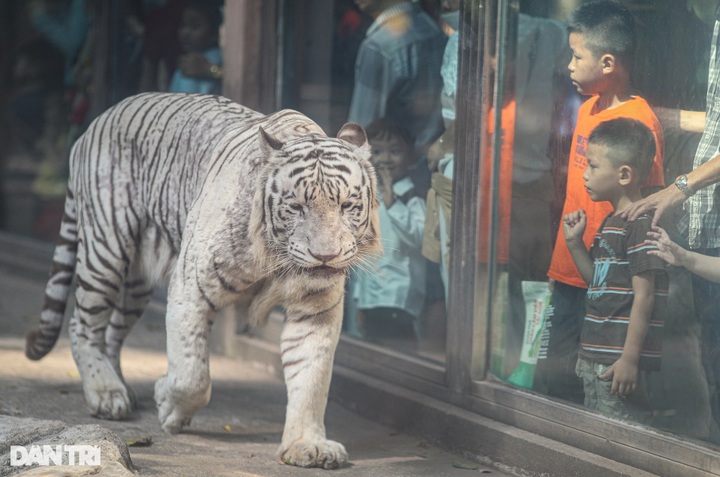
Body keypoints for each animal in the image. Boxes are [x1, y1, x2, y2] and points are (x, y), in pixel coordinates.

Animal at [24, 92, 381, 469]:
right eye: (297, 207)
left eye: (347, 205)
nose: (325, 256)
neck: (278, 261)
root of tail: (99, 119)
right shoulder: (190, 288)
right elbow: (192, 375)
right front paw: (168, 404)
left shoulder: (315, 310)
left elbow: (311, 378)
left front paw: (306, 445)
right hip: (105, 248)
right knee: (82, 325)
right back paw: (107, 395)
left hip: (136, 283)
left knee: (111, 332)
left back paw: (120, 388)